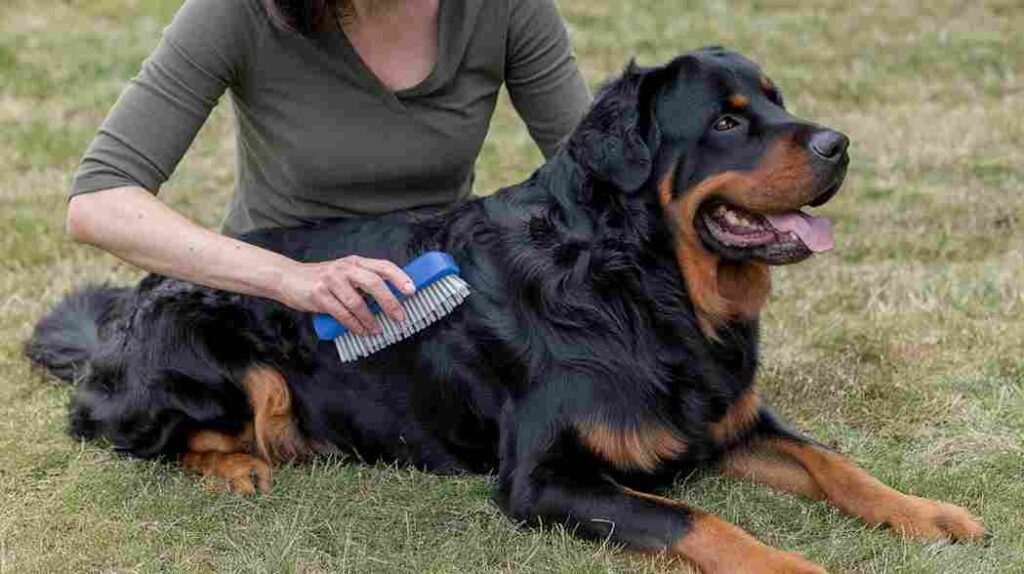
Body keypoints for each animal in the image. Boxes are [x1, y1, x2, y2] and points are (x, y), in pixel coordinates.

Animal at [28, 49, 978, 572]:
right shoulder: (541, 479)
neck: (642, 287)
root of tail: (121, 319)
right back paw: (236, 467)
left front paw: (925, 513)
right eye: (728, 122)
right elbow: (700, 520)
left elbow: (833, 463)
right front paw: (792, 565)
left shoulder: (729, 419)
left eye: (777, 100)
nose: (838, 144)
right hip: (210, 350)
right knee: (119, 430)